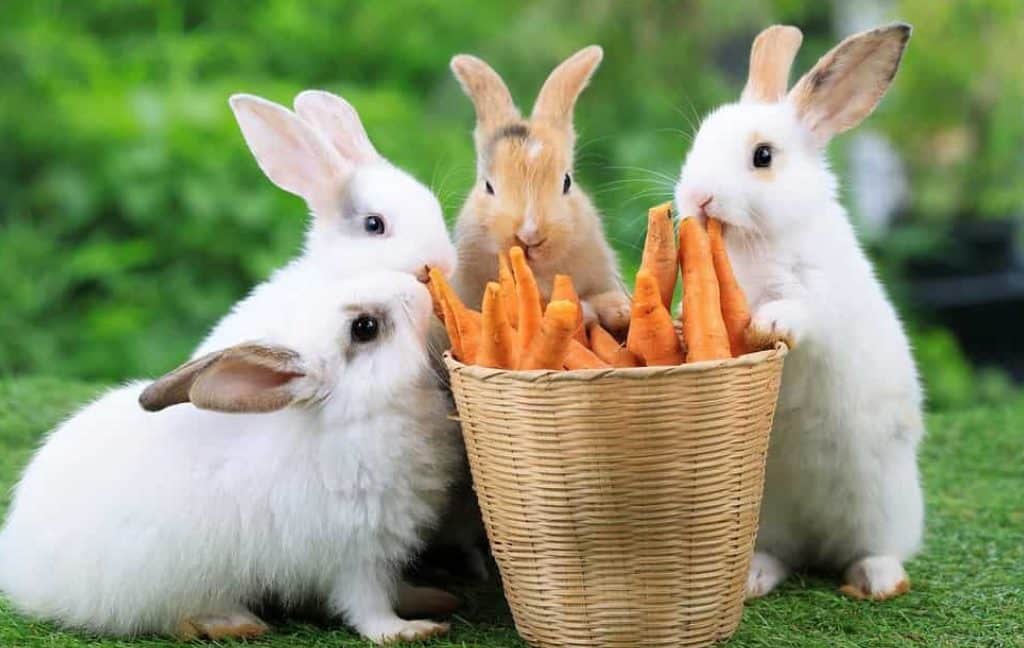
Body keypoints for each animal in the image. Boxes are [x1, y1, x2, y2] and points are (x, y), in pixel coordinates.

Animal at [0, 270, 464, 644]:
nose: (418, 284)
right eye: (365, 327)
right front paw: (408, 631)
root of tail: (20, 566)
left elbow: (397, 587)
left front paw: (432, 598)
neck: (354, 415)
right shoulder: (356, 552)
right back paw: (234, 623)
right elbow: (368, 606)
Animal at [672, 24, 924, 601]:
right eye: (698, 141)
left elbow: (800, 311)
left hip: (886, 509)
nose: (697, 197)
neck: (754, 243)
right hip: (768, 518)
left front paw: (768, 323)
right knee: (781, 556)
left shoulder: (821, 295)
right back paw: (754, 579)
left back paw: (876, 581)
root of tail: (818, 544)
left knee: (875, 549)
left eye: (763, 156)